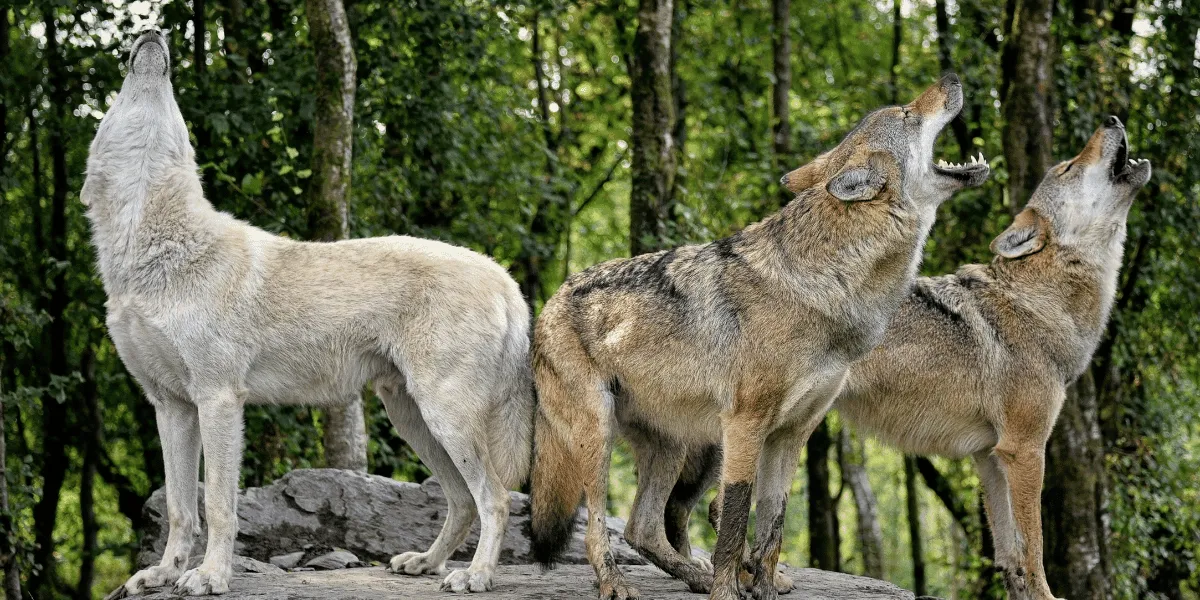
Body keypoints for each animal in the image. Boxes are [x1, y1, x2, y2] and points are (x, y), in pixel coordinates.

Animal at [86, 31, 533, 597]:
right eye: (117, 102)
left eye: (175, 106)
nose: (153, 34)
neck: (154, 251)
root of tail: (504, 277)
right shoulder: (170, 407)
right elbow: (182, 510)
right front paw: (165, 573)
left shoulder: (218, 400)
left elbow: (218, 506)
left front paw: (210, 576)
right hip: (413, 419)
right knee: (460, 500)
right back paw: (427, 563)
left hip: (444, 417)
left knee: (494, 497)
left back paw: (474, 576)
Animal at [527, 74, 989, 600]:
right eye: (909, 115)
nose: (952, 78)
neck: (827, 285)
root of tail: (549, 299)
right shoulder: (746, 425)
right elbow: (734, 518)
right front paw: (728, 591)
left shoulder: (792, 433)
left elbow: (772, 524)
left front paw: (763, 587)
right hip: (601, 435)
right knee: (599, 526)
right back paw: (616, 583)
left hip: (678, 446)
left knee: (642, 528)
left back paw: (694, 576)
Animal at [651, 118, 1150, 600]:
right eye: (1068, 167)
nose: (1112, 118)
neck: (1036, 302)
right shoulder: (1024, 449)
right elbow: (1035, 549)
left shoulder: (990, 458)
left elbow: (1010, 556)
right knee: (710, 508)